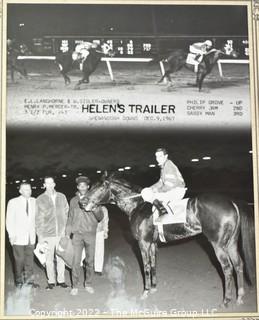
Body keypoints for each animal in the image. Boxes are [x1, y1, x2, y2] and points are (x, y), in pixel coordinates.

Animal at [83, 175, 256, 308]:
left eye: (98, 188)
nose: (82, 202)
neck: (138, 206)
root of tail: (231, 202)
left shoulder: (143, 243)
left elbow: (146, 266)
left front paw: (145, 291)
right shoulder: (152, 244)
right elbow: (153, 264)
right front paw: (153, 288)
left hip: (218, 245)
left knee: (227, 268)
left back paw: (226, 301)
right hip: (231, 243)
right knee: (238, 264)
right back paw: (240, 297)